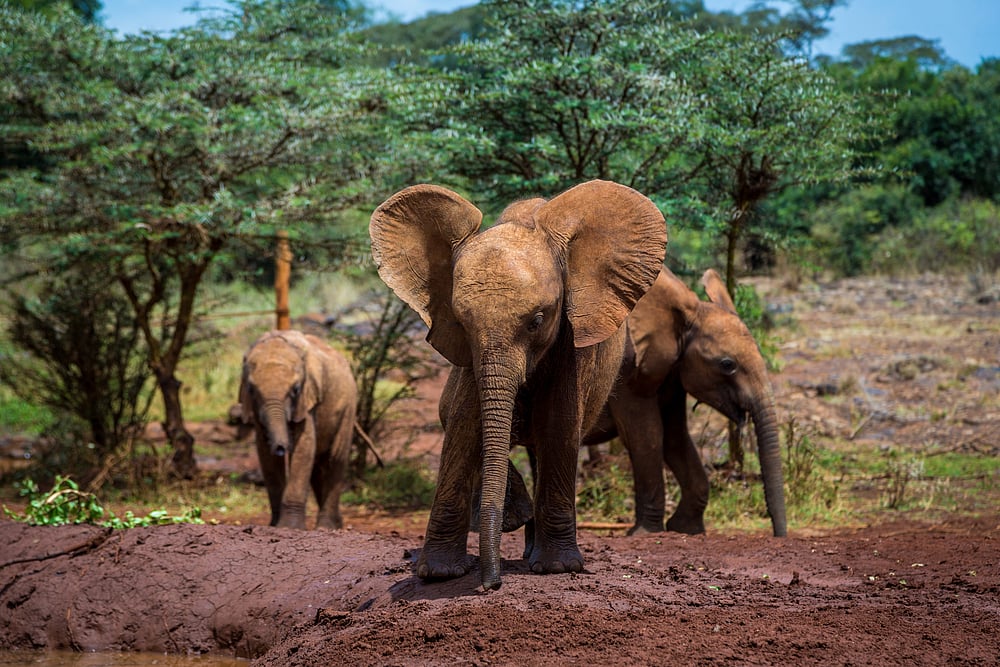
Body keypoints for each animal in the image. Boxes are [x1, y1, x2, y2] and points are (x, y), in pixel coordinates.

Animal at [239, 329, 358, 530]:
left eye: (295, 389)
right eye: (251, 390)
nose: (281, 447)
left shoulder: (307, 399)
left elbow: (304, 447)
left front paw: (290, 527)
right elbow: (265, 455)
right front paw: (275, 525)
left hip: (348, 407)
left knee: (335, 458)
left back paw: (326, 527)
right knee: (317, 465)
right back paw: (337, 524)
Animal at [369, 180, 666, 590]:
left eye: (537, 321)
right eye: (461, 323)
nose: (491, 584)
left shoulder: (571, 340)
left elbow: (559, 425)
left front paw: (558, 568)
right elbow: (464, 425)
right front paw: (438, 574)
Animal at [585, 267, 787, 537]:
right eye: (727, 365)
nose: (778, 534)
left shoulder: (672, 371)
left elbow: (676, 438)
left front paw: (685, 528)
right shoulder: (626, 371)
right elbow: (646, 436)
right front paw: (646, 532)